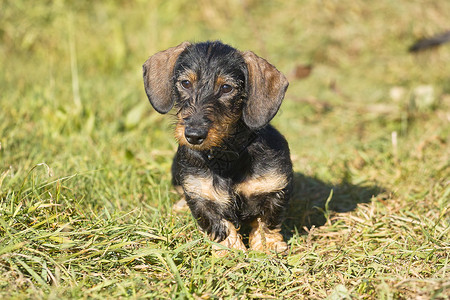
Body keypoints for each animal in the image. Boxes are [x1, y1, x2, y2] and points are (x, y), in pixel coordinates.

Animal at [142, 40, 294, 255]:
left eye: (226, 88)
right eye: (186, 83)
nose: (194, 135)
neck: (226, 155)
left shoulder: (274, 188)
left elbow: (266, 222)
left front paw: (267, 247)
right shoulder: (201, 196)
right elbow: (220, 225)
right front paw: (230, 251)